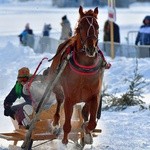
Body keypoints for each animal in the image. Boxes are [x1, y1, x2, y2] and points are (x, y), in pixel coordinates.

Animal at [47, 5, 109, 145]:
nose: (91, 49)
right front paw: (64, 142)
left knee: (85, 111)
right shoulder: (69, 98)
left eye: (97, 26)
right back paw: (56, 124)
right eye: (81, 27)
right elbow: (67, 125)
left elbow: (91, 122)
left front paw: (87, 131)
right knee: (59, 101)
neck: (84, 69)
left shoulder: (94, 96)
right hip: (56, 85)